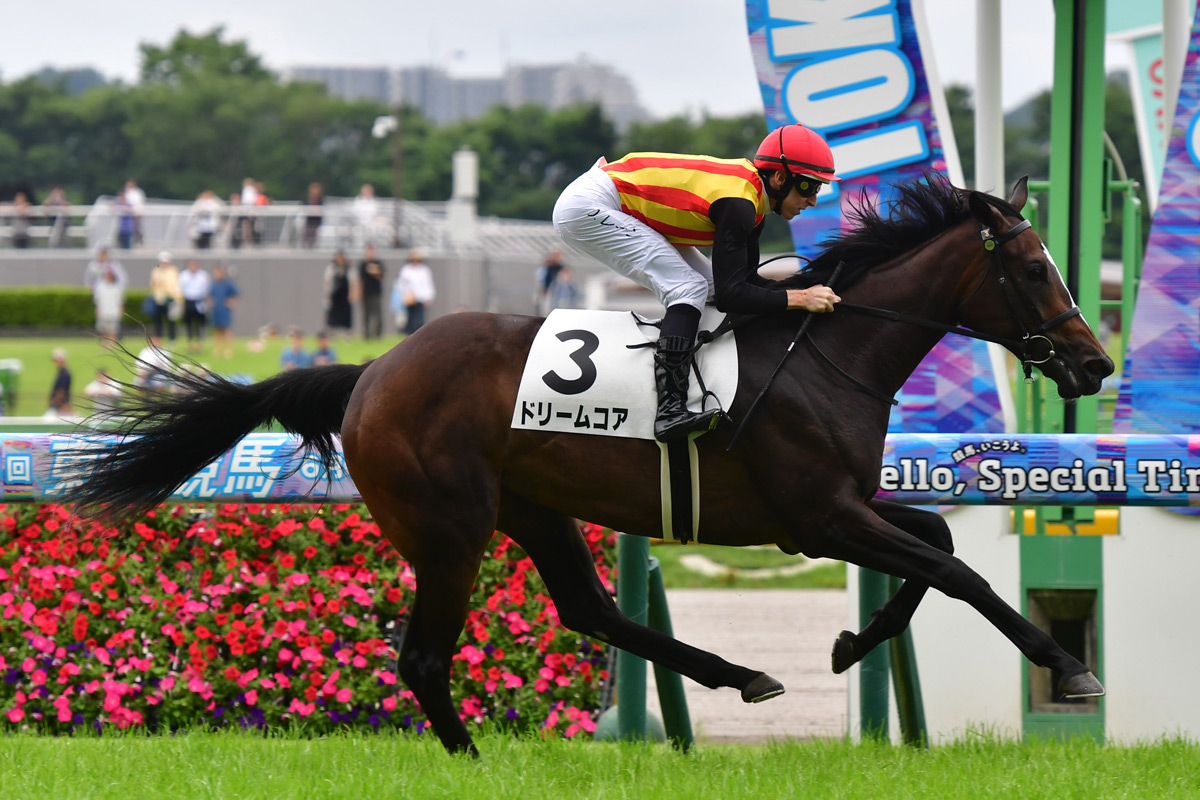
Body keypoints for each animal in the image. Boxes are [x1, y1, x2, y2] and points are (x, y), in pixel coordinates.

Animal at [65, 174, 1114, 756]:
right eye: (1032, 269)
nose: (1095, 364)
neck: (826, 350)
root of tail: (372, 371)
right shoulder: (818, 517)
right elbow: (955, 569)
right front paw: (1068, 666)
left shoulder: (847, 505)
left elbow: (936, 542)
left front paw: (851, 644)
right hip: (449, 527)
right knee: (425, 654)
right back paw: (472, 758)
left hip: (535, 507)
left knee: (590, 609)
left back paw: (741, 676)